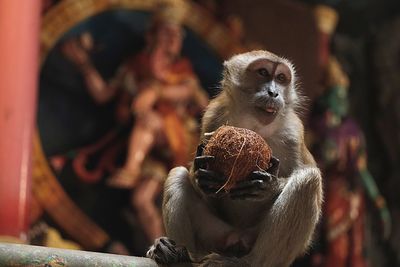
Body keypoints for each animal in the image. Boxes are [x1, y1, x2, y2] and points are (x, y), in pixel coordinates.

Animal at [147, 49, 322, 266]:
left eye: (281, 78)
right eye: (263, 72)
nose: (273, 92)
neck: (254, 125)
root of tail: (236, 238)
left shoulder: (293, 133)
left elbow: (306, 176)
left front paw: (268, 186)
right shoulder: (213, 116)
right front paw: (203, 177)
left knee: (308, 181)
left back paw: (246, 262)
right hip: (215, 235)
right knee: (177, 175)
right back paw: (178, 252)